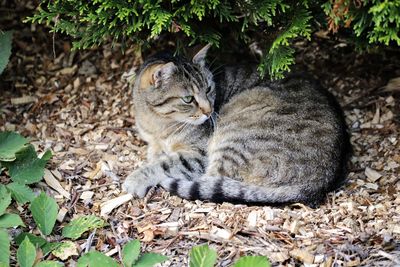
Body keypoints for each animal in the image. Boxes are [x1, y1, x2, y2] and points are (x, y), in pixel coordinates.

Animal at [122, 45, 350, 207]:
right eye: (188, 99)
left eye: (209, 89)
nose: (209, 111)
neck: (159, 124)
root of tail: (320, 182)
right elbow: (155, 155)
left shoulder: (198, 155)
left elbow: (162, 164)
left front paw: (136, 178)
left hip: (233, 136)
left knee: (212, 180)